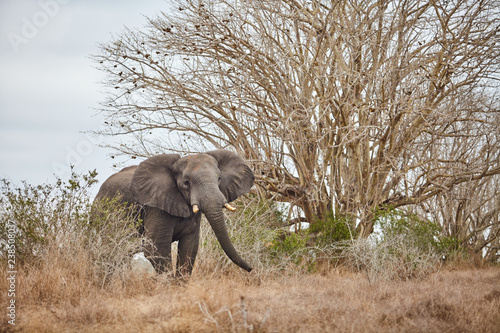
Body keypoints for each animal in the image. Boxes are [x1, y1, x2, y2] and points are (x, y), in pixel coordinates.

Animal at [94, 149, 254, 276]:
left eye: (219, 178)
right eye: (186, 183)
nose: (251, 269)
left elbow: (190, 247)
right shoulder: (155, 206)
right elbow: (155, 248)